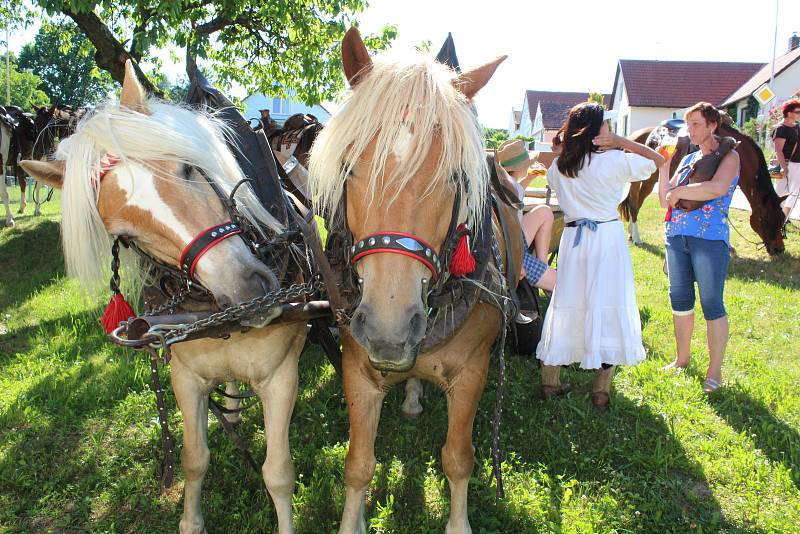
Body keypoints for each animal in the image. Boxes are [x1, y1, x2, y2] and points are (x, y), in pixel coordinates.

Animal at [21, 62, 304, 534]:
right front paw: (191, 519)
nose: (247, 287)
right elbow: (194, 459)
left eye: (188, 168)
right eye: (125, 235)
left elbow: (277, 472)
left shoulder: (281, 377)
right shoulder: (184, 378)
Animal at [306, 28, 520, 532]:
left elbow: (458, 459)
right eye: (350, 167)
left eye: (454, 176)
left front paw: (459, 523)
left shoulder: (473, 374)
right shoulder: (358, 369)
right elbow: (358, 464)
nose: (389, 330)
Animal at [620, 115, 788, 258]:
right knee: (634, 204)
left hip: (650, 180)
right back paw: (636, 238)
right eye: (766, 218)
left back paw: (631, 233)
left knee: (638, 203)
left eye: (782, 218)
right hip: (636, 181)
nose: (779, 249)